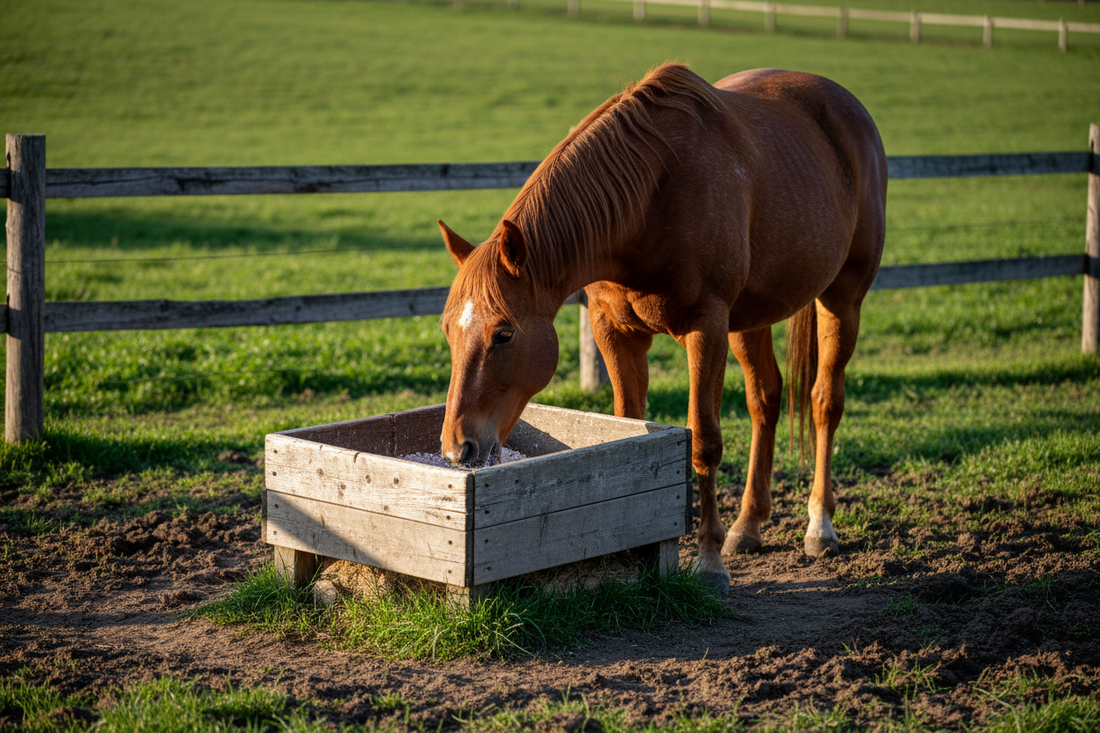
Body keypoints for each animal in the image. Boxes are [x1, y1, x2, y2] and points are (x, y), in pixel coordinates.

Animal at [436, 64, 886, 593]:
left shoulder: (705, 328)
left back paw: (820, 527)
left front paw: (709, 562)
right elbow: (626, 425)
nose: (456, 447)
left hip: (842, 299)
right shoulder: (616, 332)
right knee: (766, 400)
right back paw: (748, 526)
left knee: (823, 402)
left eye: (503, 334)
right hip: (749, 319)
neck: (648, 198)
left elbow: (705, 441)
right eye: (448, 331)